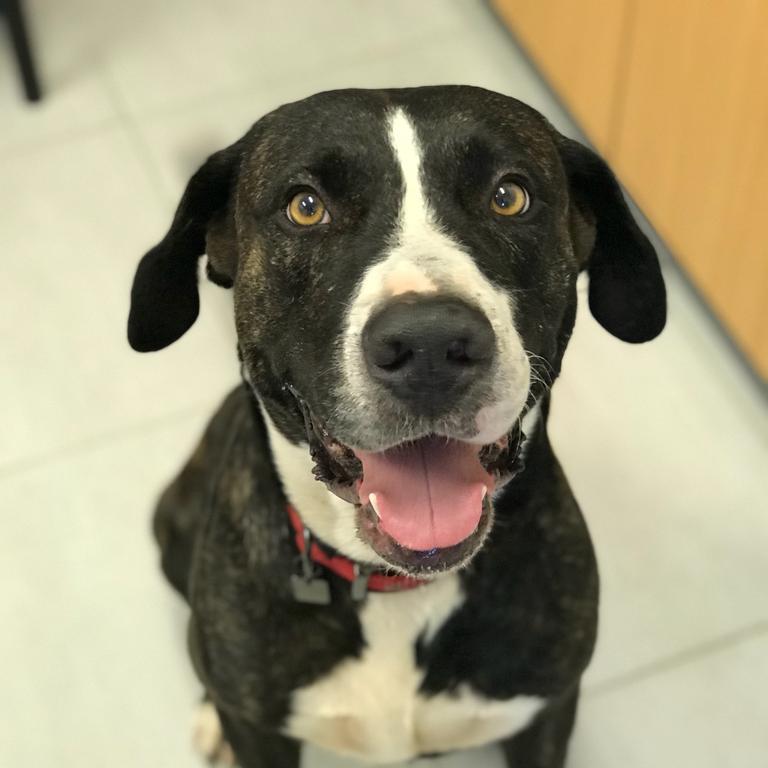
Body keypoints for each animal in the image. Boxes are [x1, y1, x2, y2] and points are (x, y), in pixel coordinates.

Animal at [127, 85, 664, 768]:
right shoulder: (260, 726)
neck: (397, 588)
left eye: (509, 195)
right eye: (305, 206)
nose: (430, 344)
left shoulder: (546, 710)